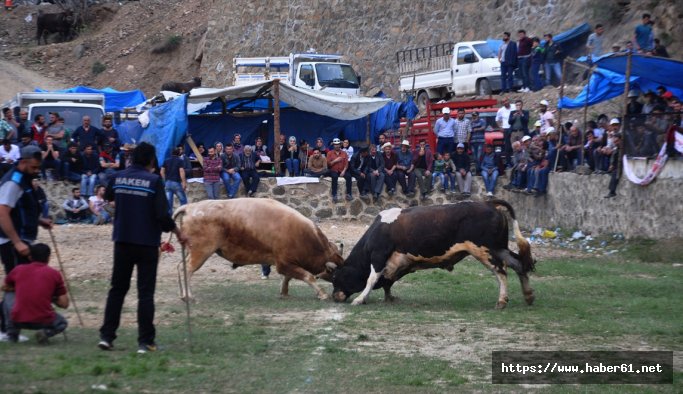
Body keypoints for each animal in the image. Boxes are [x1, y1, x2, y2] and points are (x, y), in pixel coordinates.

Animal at [171, 199, 342, 300]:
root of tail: (191, 207)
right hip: (201, 252)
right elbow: (308, 276)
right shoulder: (284, 264)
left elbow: (288, 278)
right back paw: (188, 296)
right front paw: (322, 294)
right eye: (335, 274)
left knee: (180, 267)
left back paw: (182, 295)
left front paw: (284, 292)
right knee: (188, 270)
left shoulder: (289, 264)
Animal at [332, 200, 540, 308]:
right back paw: (529, 296)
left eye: (337, 277)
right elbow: (387, 282)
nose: (334, 296)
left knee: (501, 272)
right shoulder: (401, 263)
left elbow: (371, 279)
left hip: (486, 250)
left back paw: (502, 301)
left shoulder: (378, 256)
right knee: (519, 264)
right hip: (500, 248)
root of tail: (488, 203)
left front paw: (360, 299)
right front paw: (389, 298)